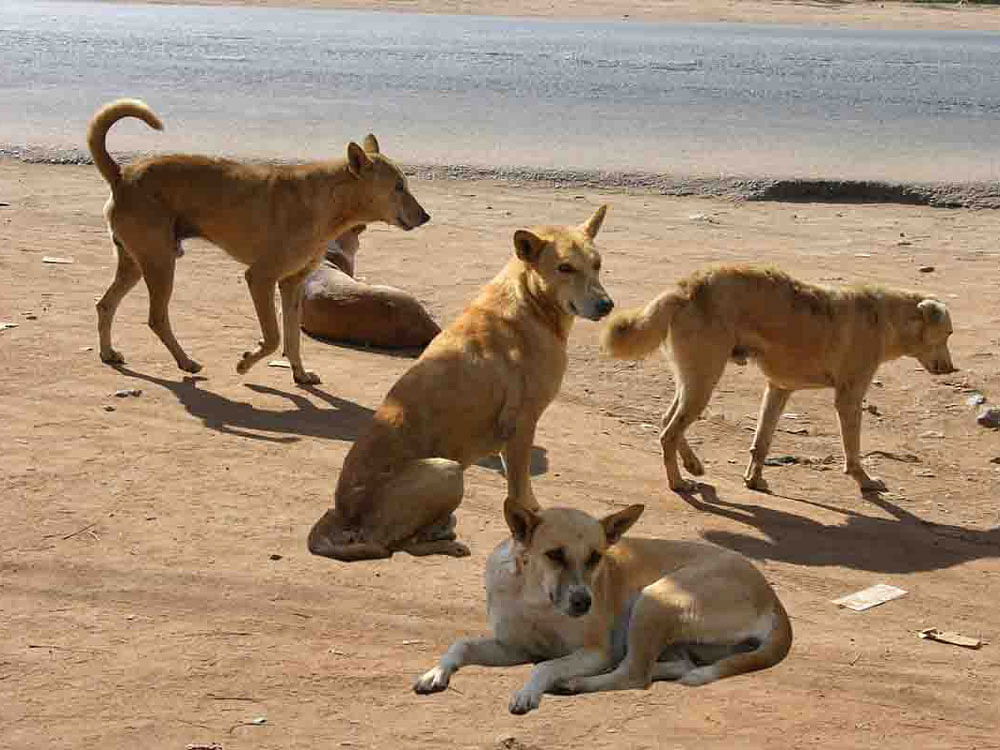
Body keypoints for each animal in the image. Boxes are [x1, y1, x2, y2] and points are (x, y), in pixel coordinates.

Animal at [88, 97, 428, 384]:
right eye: (398, 186)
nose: (426, 217)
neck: (327, 200)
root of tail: (121, 175)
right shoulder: (260, 277)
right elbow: (274, 337)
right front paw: (245, 362)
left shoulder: (291, 284)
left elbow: (292, 339)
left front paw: (300, 374)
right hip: (160, 264)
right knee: (156, 318)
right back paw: (186, 362)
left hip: (136, 263)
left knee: (104, 305)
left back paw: (108, 353)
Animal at [308, 209, 612, 560]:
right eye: (564, 268)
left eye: (597, 264)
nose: (607, 305)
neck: (530, 302)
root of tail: (341, 512)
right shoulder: (522, 426)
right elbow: (520, 493)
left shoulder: (511, 436)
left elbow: (522, 489)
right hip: (447, 471)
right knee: (391, 544)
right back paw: (445, 544)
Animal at [414, 500, 788, 716]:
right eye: (554, 555)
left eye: (596, 557)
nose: (584, 601)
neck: (536, 599)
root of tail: (772, 595)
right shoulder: (514, 647)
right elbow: (461, 644)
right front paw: (435, 672)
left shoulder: (595, 652)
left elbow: (547, 665)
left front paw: (529, 692)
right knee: (671, 665)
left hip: (654, 599)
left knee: (636, 675)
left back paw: (575, 683)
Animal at [596, 268, 956, 496]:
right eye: (949, 333)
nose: (952, 369)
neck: (886, 318)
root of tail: (687, 287)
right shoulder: (849, 398)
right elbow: (852, 451)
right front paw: (865, 482)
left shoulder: (779, 388)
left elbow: (762, 442)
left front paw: (754, 480)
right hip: (703, 381)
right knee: (669, 432)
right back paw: (678, 483)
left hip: (693, 380)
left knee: (665, 421)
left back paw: (693, 465)